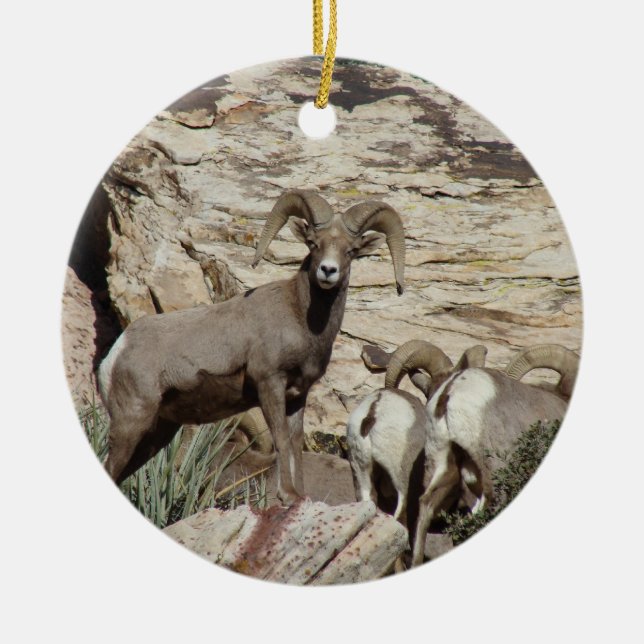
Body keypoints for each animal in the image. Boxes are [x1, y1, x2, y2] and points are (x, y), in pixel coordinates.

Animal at [98, 189, 406, 506]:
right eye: (313, 243)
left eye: (351, 250)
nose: (327, 271)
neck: (300, 317)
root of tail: (117, 352)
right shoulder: (269, 383)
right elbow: (281, 438)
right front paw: (287, 495)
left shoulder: (298, 396)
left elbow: (295, 444)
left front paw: (300, 496)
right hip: (131, 423)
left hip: (157, 433)